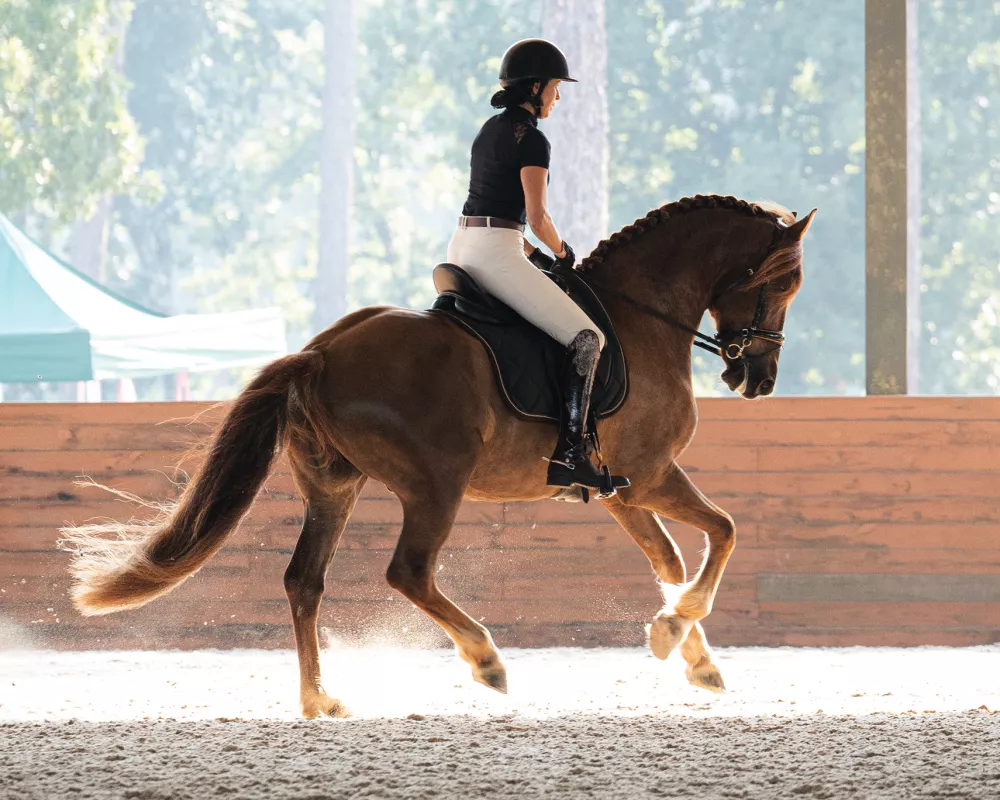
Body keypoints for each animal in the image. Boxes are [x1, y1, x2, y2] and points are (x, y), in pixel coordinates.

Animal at [60, 194, 812, 720]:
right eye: (783, 287)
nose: (757, 379)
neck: (641, 318)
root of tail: (320, 353)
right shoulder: (651, 476)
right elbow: (723, 534)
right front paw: (673, 631)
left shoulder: (623, 489)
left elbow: (673, 562)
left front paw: (691, 654)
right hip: (436, 486)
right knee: (408, 572)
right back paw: (485, 661)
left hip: (333, 488)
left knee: (305, 581)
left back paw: (318, 699)